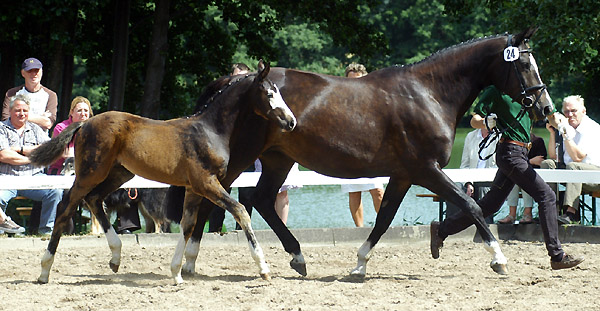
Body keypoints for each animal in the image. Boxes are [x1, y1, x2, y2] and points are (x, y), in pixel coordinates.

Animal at [29, 60, 296, 286]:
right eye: (269, 93)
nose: (291, 122)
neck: (210, 131)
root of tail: (86, 123)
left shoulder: (193, 188)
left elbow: (188, 225)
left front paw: (176, 273)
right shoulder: (207, 183)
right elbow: (240, 211)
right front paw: (263, 268)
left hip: (119, 173)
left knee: (94, 199)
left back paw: (115, 257)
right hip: (90, 173)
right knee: (65, 208)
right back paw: (44, 270)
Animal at [177, 28, 552, 278]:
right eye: (524, 65)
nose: (545, 108)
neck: (428, 94)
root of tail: (236, 82)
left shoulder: (403, 175)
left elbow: (384, 218)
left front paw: (359, 263)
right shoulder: (427, 170)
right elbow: (472, 206)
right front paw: (499, 259)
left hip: (278, 159)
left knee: (262, 200)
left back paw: (296, 257)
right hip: (241, 158)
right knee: (215, 198)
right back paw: (192, 260)